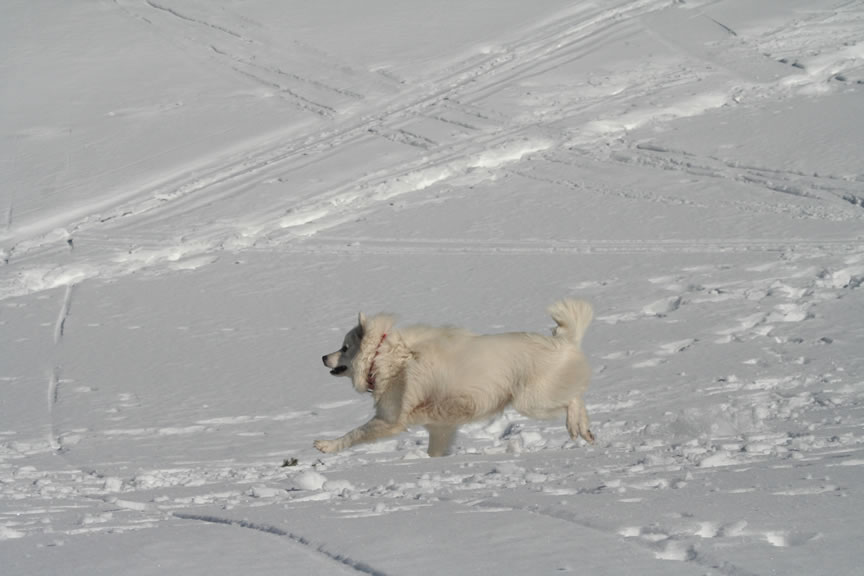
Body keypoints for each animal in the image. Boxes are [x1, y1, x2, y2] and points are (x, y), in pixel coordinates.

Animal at [317, 299, 594, 457]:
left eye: (344, 347)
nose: (322, 357)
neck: (386, 357)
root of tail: (563, 341)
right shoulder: (441, 427)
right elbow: (435, 452)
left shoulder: (388, 420)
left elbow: (353, 434)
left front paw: (326, 445)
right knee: (576, 396)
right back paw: (585, 430)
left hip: (531, 401)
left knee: (572, 399)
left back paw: (575, 425)